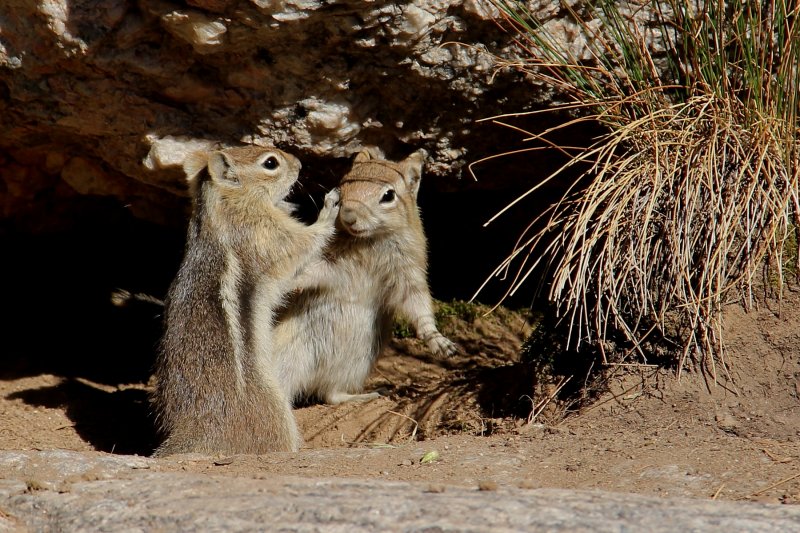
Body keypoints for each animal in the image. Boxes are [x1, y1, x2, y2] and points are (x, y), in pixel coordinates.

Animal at [152, 144, 340, 454]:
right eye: (271, 163)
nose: (300, 163)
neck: (223, 205)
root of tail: (193, 433)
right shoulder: (269, 235)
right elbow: (304, 242)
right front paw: (329, 209)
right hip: (274, 412)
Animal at [272, 147, 456, 404]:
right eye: (344, 184)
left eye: (388, 195)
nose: (349, 216)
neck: (369, 241)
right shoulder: (329, 264)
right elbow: (311, 271)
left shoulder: (408, 273)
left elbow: (418, 306)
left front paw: (440, 343)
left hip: (353, 365)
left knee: (331, 394)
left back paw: (369, 394)